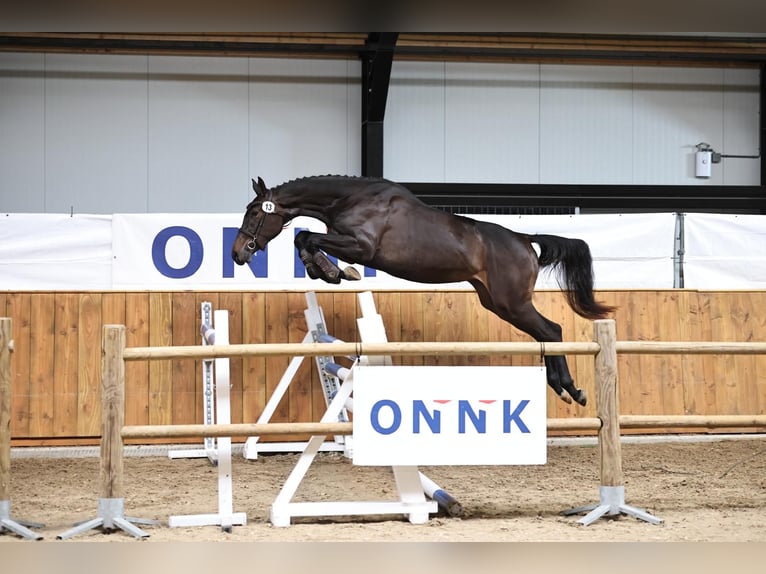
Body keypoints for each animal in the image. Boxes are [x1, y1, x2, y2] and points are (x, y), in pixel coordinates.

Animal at [231, 175, 615, 406]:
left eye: (254, 213)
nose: (238, 254)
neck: (350, 200)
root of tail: (524, 239)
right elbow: (304, 239)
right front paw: (327, 271)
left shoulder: (362, 247)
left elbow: (308, 237)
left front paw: (332, 271)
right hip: (498, 303)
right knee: (546, 334)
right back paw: (564, 389)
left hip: (513, 303)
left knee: (552, 330)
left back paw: (571, 389)